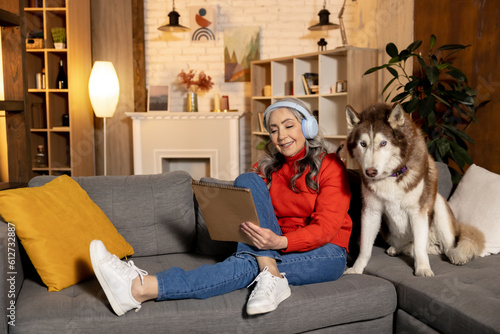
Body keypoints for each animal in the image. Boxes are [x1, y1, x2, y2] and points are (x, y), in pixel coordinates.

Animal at [344, 103, 484, 276]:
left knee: (444, 247)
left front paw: (423, 268)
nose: (370, 172)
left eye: (383, 143)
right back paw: (397, 249)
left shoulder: (417, 211)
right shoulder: (371, 211)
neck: (392, 175)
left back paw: (456, 255)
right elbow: (364, 248)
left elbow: (419, 248)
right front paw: (356, 269)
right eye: (362, 144)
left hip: (439, 206)